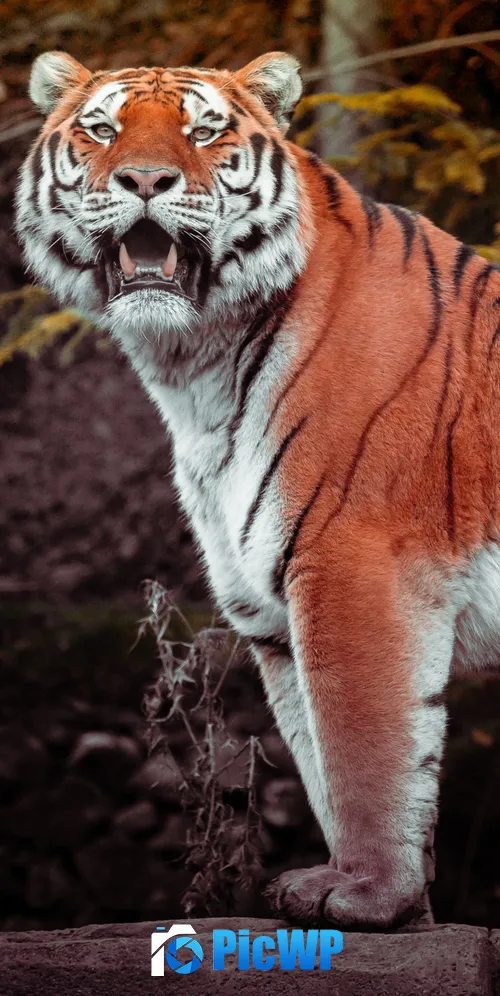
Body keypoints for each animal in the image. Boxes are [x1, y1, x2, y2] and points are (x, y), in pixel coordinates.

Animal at [15, 48, 500, 930]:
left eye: (203, 131)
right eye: (101, 128)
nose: (145, 179)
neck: (195, 367)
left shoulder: (353, 566)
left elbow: (363, 747)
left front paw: (367, 893)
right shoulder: (266, 607)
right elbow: (318, 758)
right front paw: (396, 909)